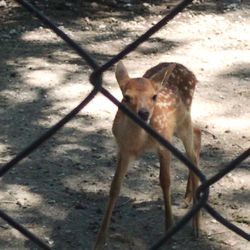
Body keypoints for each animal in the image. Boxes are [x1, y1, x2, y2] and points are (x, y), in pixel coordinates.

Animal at [94, 61, 201, 249]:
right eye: (126, 97)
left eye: (154, 96)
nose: (143, 113)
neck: (140, 142)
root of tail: (188, 70)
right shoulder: (124, 149)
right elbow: (115, 186)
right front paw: (100, 239)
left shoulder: (164, 144)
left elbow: (165, 181)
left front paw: (169, 229)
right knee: (197, 137)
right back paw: (187, 199)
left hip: (183, 122)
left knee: (193, 154)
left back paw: (196, 225)